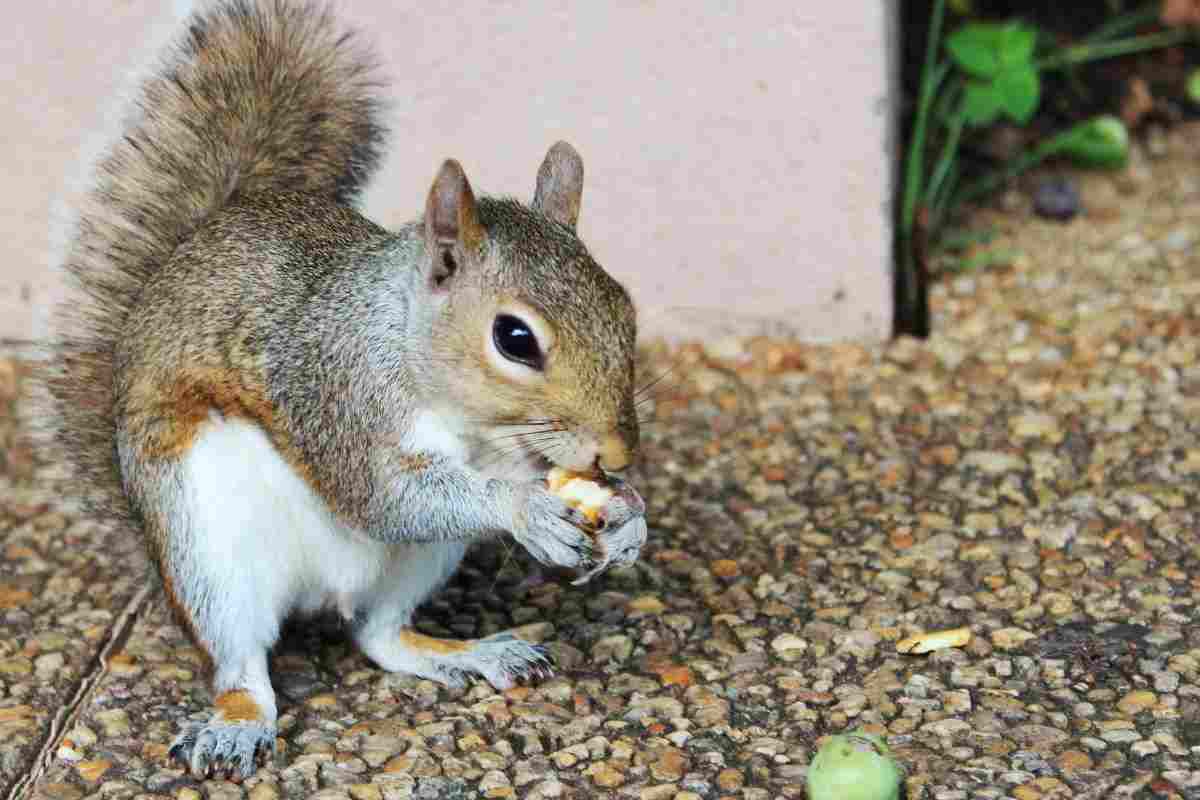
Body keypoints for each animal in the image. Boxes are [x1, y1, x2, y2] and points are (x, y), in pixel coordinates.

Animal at [42, 0, 648, 782]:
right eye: (515, 338)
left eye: (624, 306)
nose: (620, 452)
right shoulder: (334, 392)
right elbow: (385, 494)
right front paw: (525, 510)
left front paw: (629, 518)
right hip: (207, 547)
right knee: (242, 661)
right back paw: (237, 722)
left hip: (420, 559)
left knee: (379, 635)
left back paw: (471, 653)